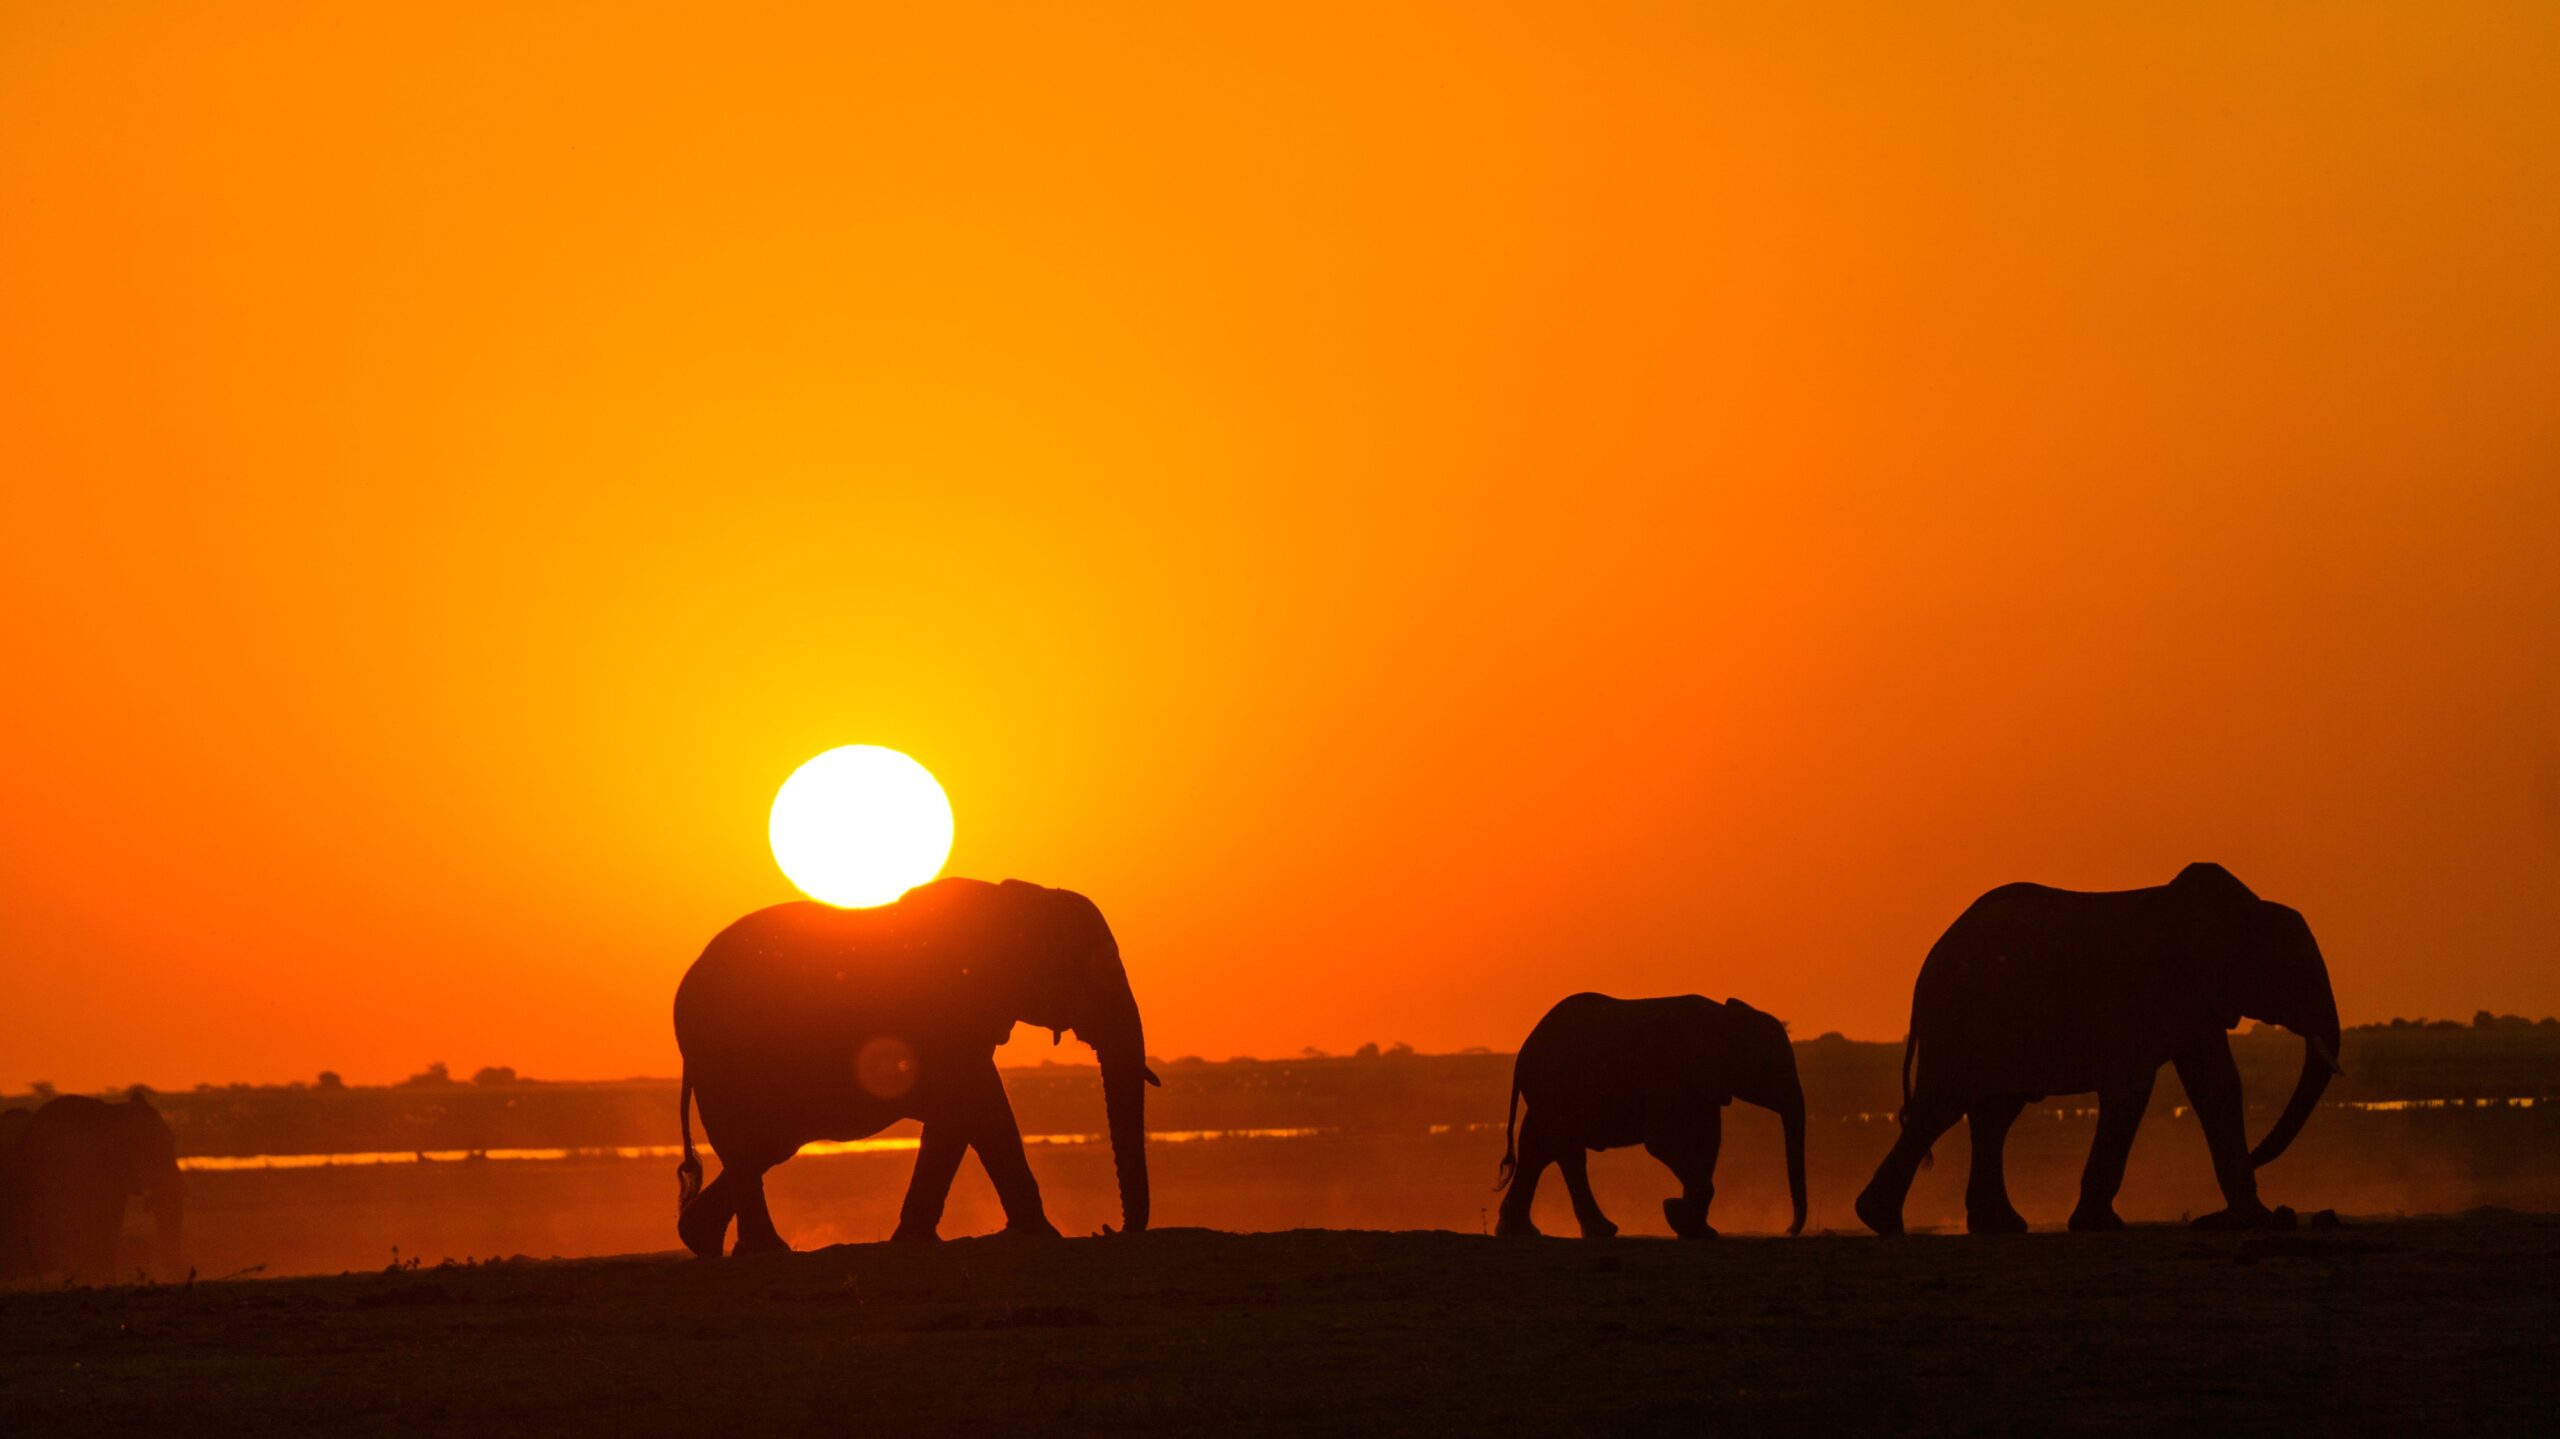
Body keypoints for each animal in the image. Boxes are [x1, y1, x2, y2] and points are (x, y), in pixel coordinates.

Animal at [673, 876, 1157, 1256]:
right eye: (1093, 971)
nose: (1108, 1229)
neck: (1012, 901)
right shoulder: (940, 1015)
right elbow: (982, 1106)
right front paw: (1043, 1235)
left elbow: (958, 1117)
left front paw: (913, 1239)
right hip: (721, 1057)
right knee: (749, 1146)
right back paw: (763, 1250)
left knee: (765, 1148)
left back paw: (704, 1240)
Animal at [1494, 993, 1808, 1239]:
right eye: (1769, 1068)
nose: (1788, 1230)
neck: (1722, 1017)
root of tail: (1523, 1052)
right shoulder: (1668, 1077)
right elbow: (1663, 1142)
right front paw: (1674, 1211)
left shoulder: (1703, 1084)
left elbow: (1708, 1143)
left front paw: (1694, 1227)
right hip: (1555, 1089)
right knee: (1567, 1153)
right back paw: (1602, 1231)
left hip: (1547, 1094)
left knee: (1537, 1150)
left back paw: (1519, 1231)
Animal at [1855, 862, 2342, 1236]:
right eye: (2295, 973)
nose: (2259, 1156)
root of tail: (1928, 962)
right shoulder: (2144, 993)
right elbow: (2132, 1090)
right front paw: (2100, 1225)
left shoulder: (2196, 1002)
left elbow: (2217, 1086)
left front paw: (2260, 1219)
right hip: (1959, 1019)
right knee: (1944, 1106)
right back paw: (1882, 1221)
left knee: (1993, 1114)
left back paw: (1998, 1226)